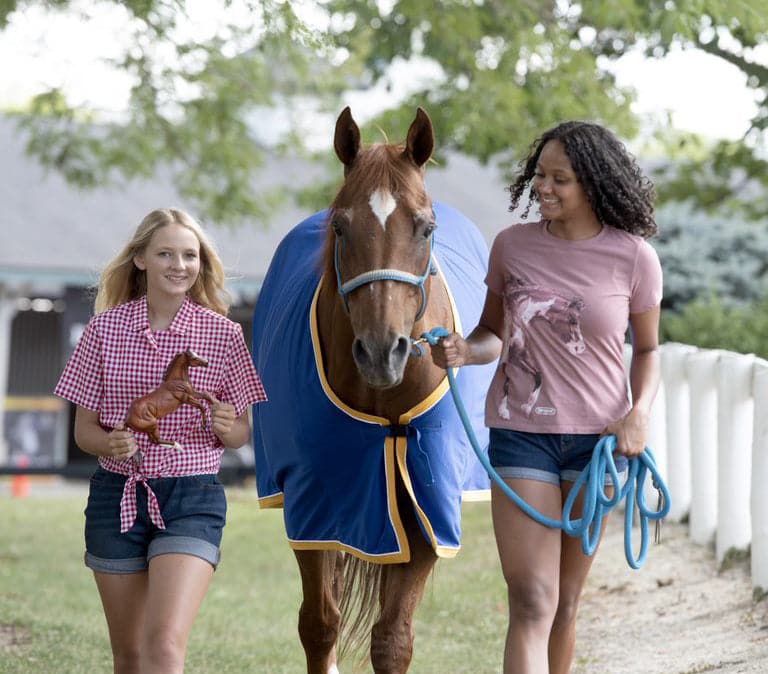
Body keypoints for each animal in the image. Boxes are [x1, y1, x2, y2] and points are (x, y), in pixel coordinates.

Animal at [252, 107, 492, 668]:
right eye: (341, 226)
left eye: (426, 228)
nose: (384, 352)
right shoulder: (316, 504)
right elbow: (320, 624)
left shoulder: (428, 506)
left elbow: (392, 639)